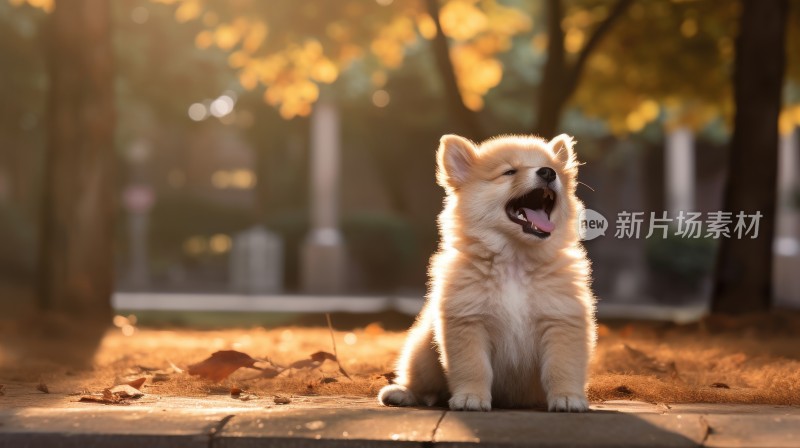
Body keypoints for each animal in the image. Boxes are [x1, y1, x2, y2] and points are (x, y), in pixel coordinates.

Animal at [378, 134, 596, 412]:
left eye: (552, 168)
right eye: (509, 172)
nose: (548, 172)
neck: (515, 261)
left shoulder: (561, 321)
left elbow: (561, 367)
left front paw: (568, 397)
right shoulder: (468, 322)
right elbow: (474, 367)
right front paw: (471, 397)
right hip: (422, 351)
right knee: (420, 381)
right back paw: (402, 393)